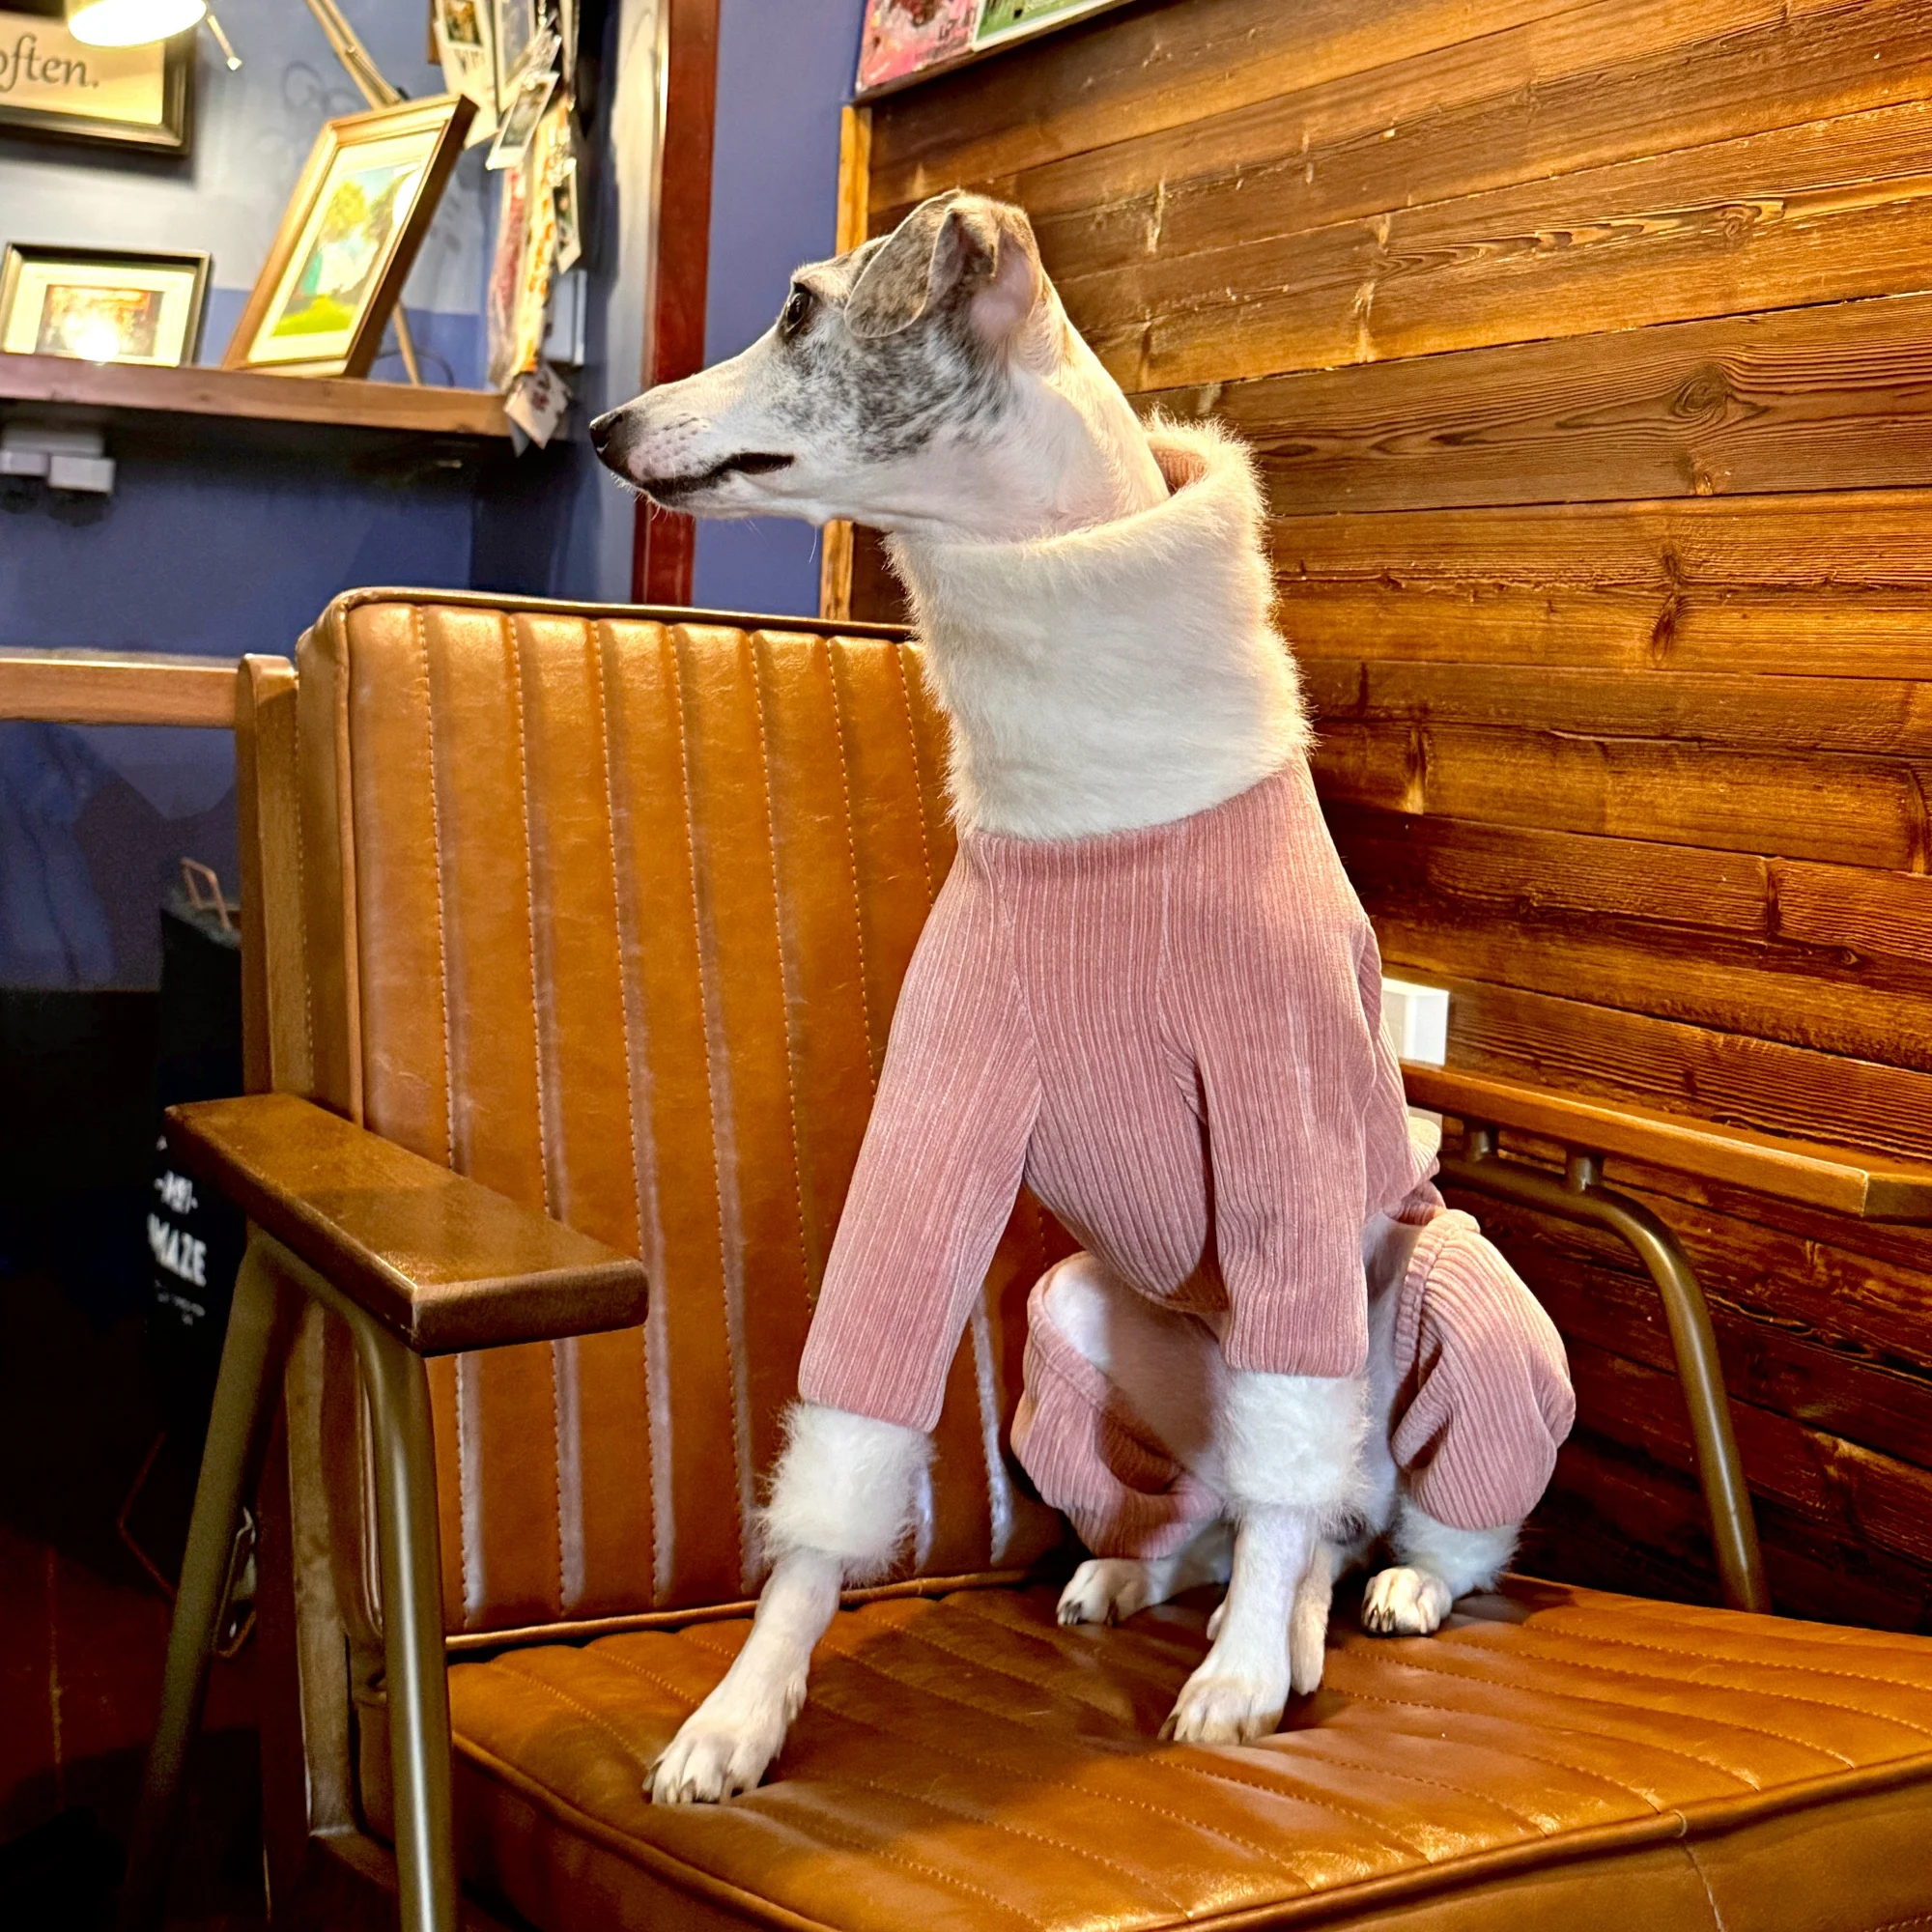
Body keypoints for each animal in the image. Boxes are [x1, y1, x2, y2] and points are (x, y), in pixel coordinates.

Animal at [591, 191, 1572, 1805]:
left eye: (798, 310)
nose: (609, 426)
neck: (1103, 826)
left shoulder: (1287, 1118)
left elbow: (1299, 1474)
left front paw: (1246, 1679)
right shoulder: (937, 1112)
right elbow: (846, 1444)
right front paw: (740, 1713)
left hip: (1460, 1314)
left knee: (1378, 1510)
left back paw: (1370, 1596)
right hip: (1072, 1320)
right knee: (1227, 1509)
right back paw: (1141, 1574)